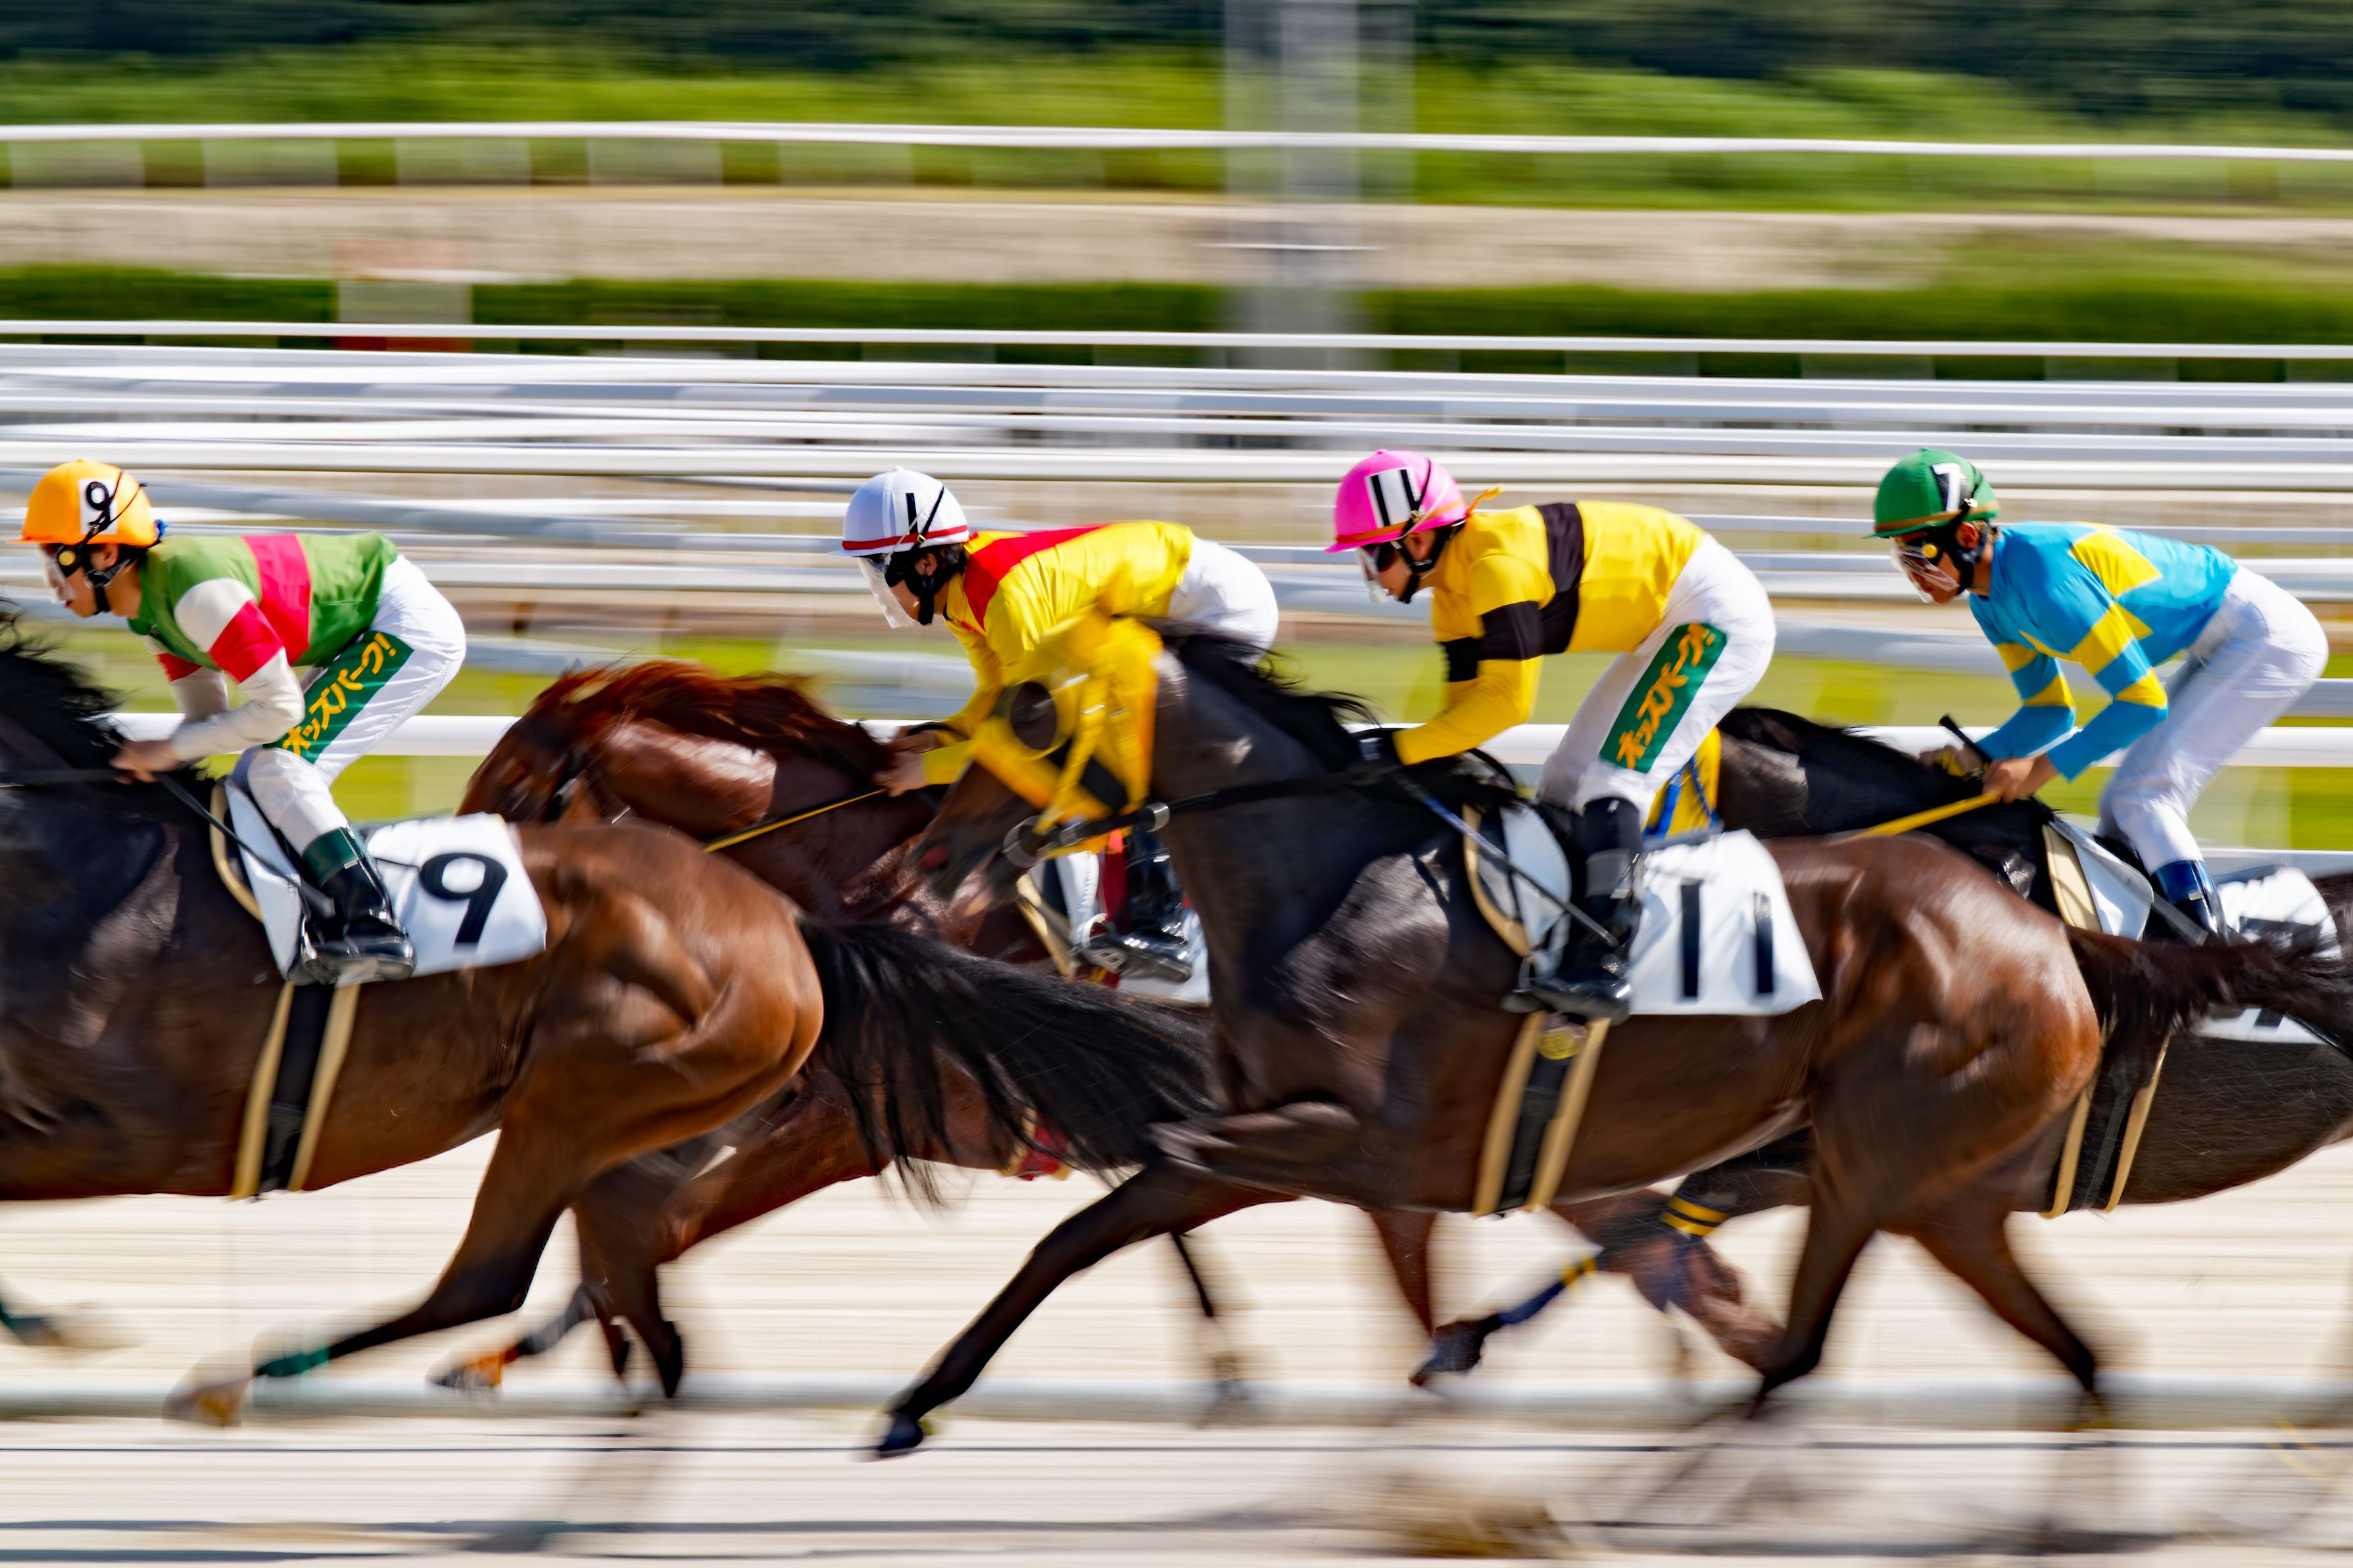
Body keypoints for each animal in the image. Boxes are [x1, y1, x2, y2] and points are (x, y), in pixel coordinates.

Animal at [449, 659, 1445, 1390]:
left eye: (513, 785)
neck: (857, 886)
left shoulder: (847, 1130)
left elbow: (660, 1227)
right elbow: (612, 1217)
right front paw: (507, 1349)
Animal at [1423, 707, 2353, 1378]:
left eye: (1618, 802)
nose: (1556, 921)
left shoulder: (1839, 1151)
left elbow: (1659, 1222)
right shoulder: (1805, 1152)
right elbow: (1655, 1225)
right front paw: (1473, 1335)